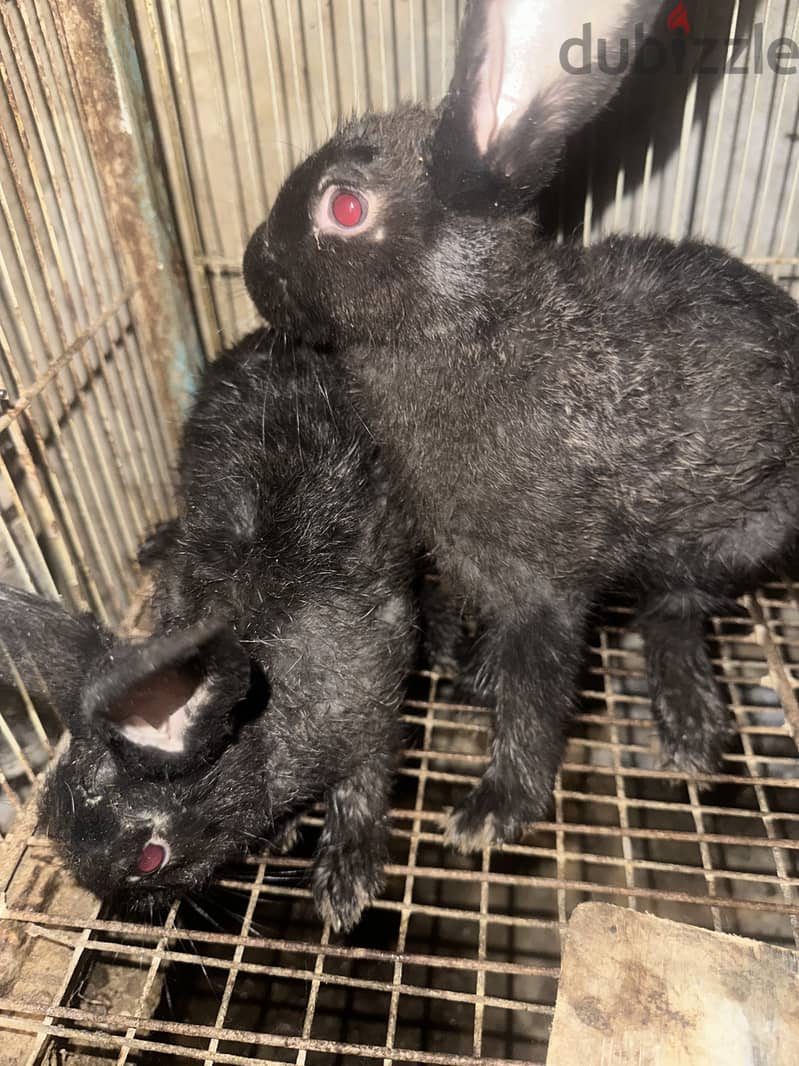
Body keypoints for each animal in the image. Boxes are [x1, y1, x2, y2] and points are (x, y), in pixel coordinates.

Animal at [0, 330, 417, 932]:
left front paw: (345, 885)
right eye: (50, 811)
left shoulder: (372, 709)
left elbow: (362, 789)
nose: (121, 903)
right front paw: (285, 830)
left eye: (151, 858)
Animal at [242, 0, 799, 853]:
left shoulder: (541, 596)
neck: (475, 333)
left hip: (745, 534)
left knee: (672, 606)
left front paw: (489, 813)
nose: (250, 265)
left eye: (344, 208)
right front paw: (470, 668)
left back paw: (686, 724)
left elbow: (532, 708)